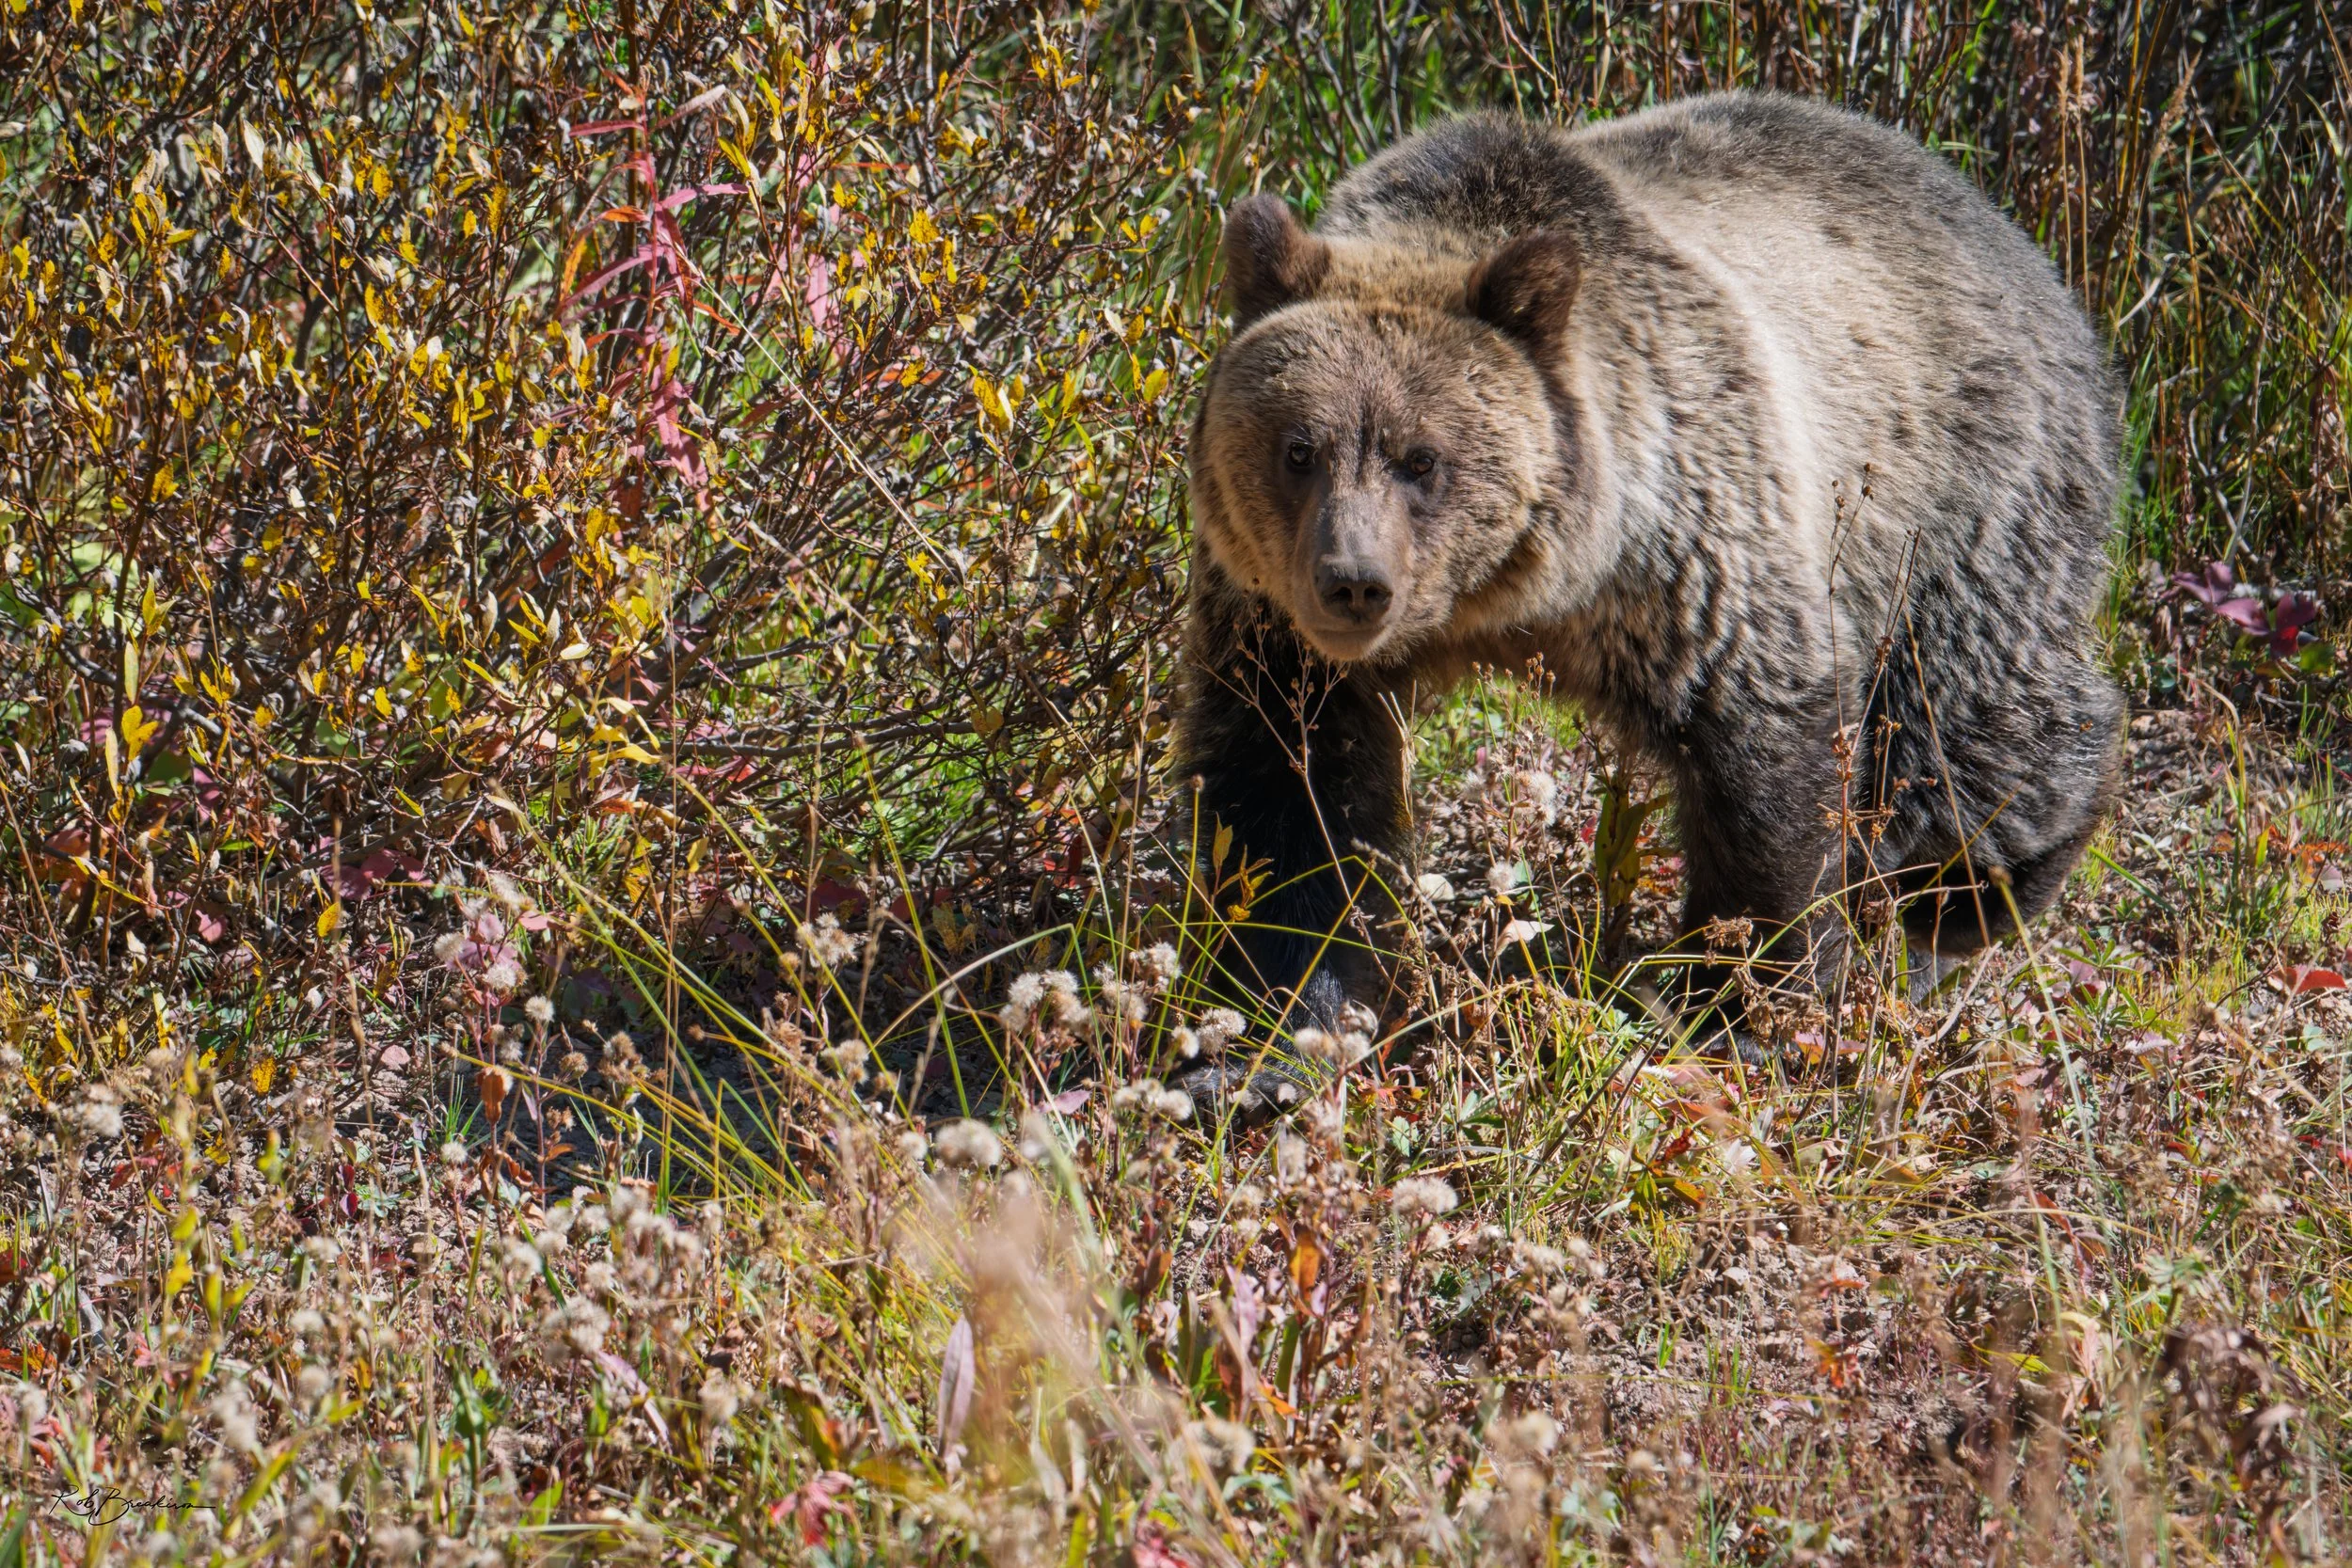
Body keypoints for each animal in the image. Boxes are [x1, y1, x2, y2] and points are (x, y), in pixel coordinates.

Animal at [1176, 90, 2124, 1088]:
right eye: (1299, 449)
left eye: (1421, 459)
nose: (1355, 585)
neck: (1507, 601)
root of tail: (2023, 245)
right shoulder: (1281, 636)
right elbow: (1287, 801)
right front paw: (1270, 1032)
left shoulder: (1690, 551)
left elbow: (1763, 766)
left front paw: (1745, 1004)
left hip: (1955, 500)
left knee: (1966, 725)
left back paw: (1957, 907)